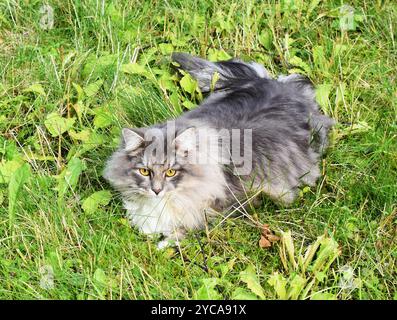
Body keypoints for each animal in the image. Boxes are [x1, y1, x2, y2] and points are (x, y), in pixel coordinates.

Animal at [103, 52, 332, 249]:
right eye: (144, 171)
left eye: (171, 172)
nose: (157, 190)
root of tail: (279, 85)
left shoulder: (233, 203)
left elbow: (187, 227)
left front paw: (165, 242)